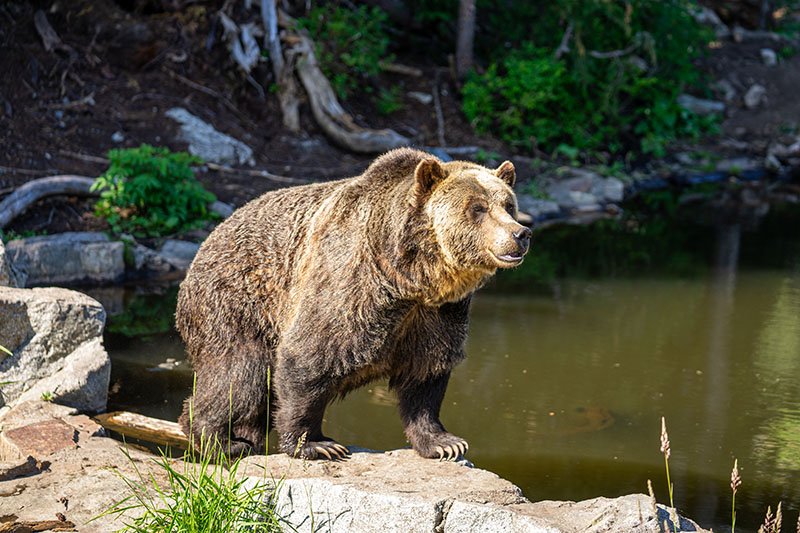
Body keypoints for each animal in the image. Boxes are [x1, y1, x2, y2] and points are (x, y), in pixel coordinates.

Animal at [176, 148, 531, 461]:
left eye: (508, 205)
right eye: (477, 208)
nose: (521, 233)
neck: (409, 276)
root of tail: (208, 239)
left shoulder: (438, 313)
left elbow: (426, 373)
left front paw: (444, 442)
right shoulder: (349, 279)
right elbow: (309, 356)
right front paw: (315, 444)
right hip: (236, 303)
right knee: (240, 374)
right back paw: (219, 440)